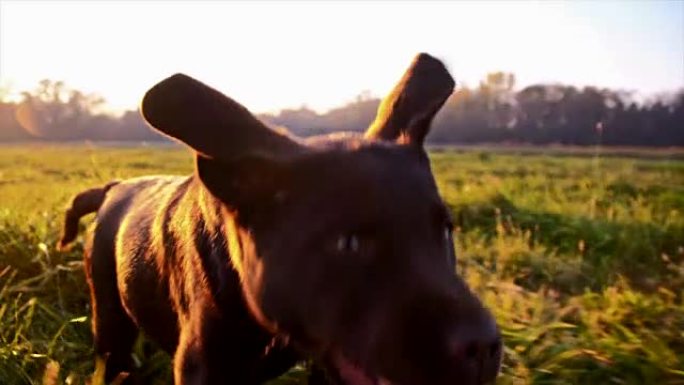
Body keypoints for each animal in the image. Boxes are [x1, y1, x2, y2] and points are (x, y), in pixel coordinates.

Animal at [60, 53, 502, 384]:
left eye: (445, 232)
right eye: (349, 243)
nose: (483, 347)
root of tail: (114, 187)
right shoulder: (203, 365)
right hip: (109, 315)